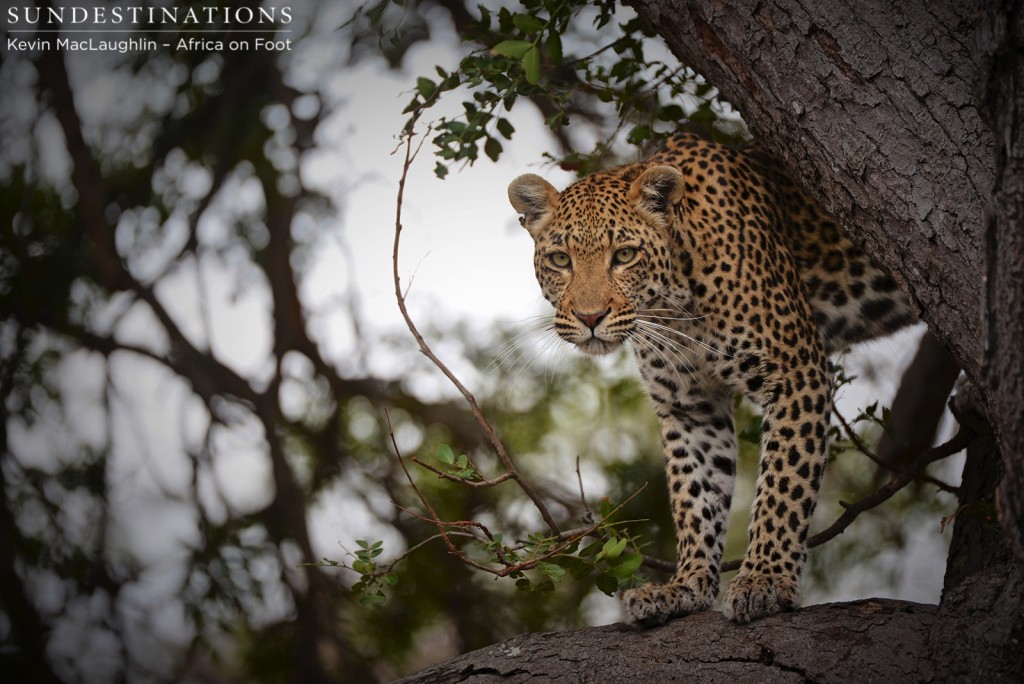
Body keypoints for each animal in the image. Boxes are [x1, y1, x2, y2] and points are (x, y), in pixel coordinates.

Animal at [507, 131, 917, 626]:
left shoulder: (796, 372)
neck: (676, 308)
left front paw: (764, 579)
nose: (589, 318)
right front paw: (685, 587)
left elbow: (783, 485)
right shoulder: (691, 407)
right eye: (560, 259)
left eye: (624, 255)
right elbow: (696, 496)